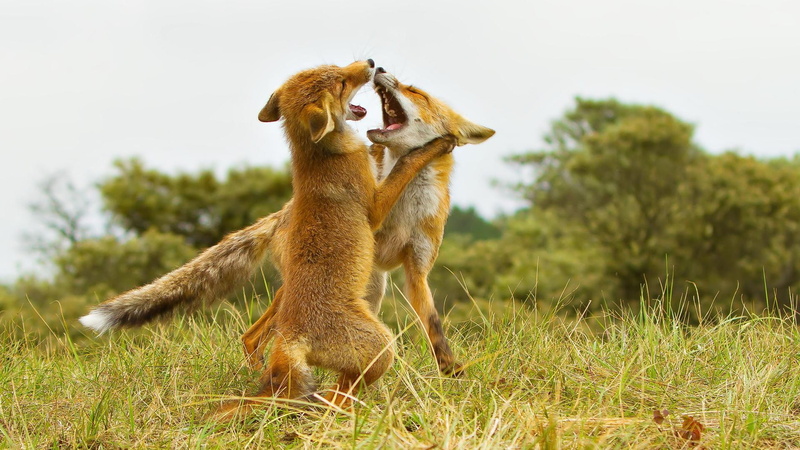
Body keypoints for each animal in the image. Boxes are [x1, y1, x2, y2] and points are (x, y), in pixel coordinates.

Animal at [81, 60, 457, 412]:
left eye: (335, 68)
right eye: (341, 81)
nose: (370, 63)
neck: (318, 157)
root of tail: (292, 338)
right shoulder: (375, 206)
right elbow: (404, 166)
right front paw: (434, 146)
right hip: (381, 347)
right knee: (333, 397)